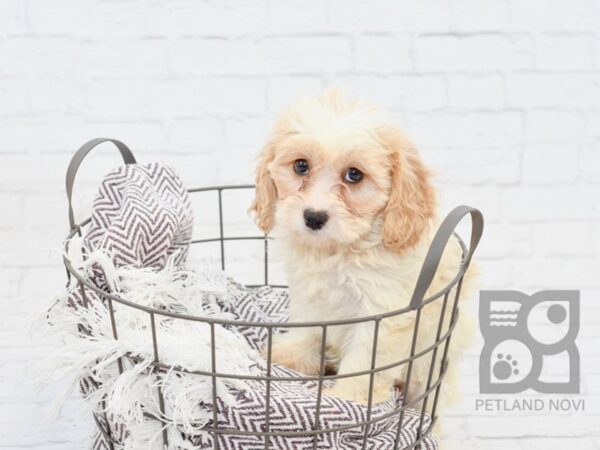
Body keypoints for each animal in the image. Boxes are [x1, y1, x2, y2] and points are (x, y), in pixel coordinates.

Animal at [248, 91, 474, 412]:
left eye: (354, 174)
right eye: (301, 166)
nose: (313, 217)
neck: (340, 250)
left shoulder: (381, 310)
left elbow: (365, 358)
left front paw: (349, 397)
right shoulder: (309, 294)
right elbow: (306, 328)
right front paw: (291, 357)